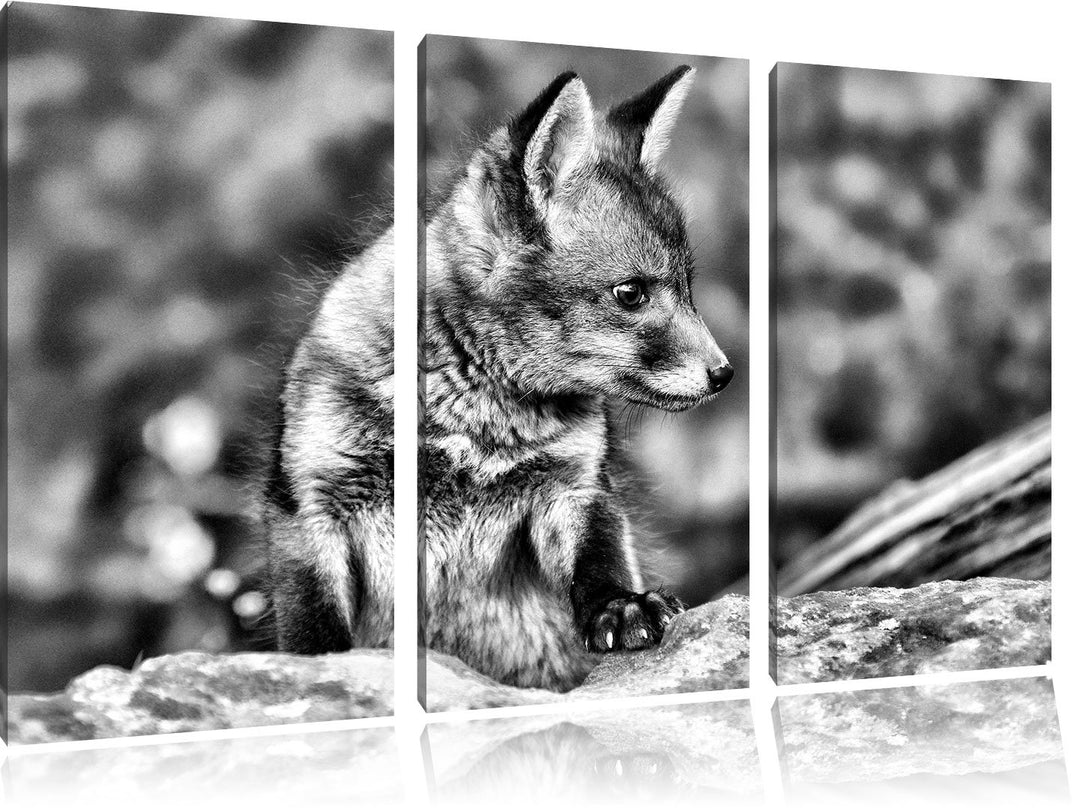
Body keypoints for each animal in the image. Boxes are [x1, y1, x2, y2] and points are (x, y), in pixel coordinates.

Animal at [264, 65, 734, 692]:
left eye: (687, 289)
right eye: (631, 293)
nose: (724, 374)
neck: (472, 425)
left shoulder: (575, 488)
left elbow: (600, 561)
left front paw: (620, 606)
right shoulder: (312, 506)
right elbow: (313, 633)